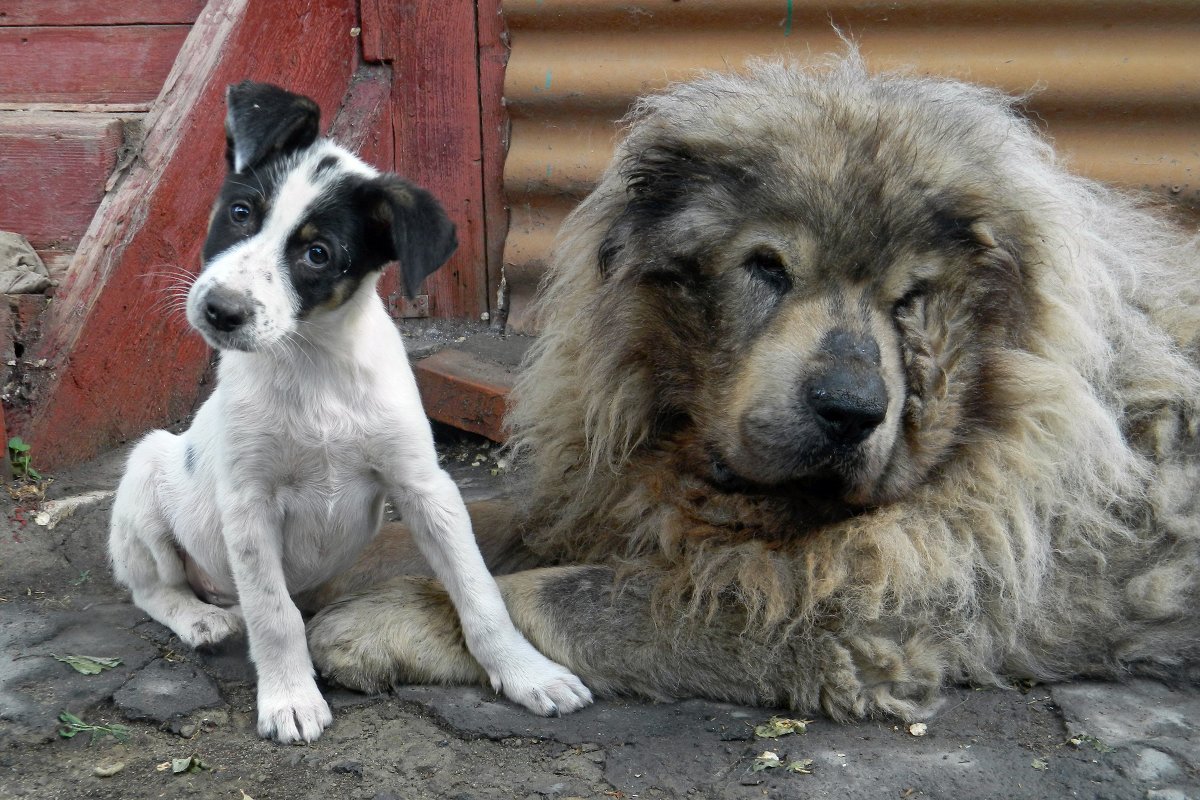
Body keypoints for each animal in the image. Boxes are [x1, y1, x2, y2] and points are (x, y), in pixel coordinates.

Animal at [110, 81, 592, 743]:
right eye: (241, 213)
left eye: (318, 253)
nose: (220, 310)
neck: (314, 367)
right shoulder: (249, 504)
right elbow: (274, 614)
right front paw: (290, 698)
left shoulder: (425, 488)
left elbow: (479, 593)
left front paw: (527, 673)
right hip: (146, 472)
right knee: (152, 588)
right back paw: (198, 619)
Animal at [307, 54, 1200, 719]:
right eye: (767, 267)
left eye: (910, 298)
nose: (851, 410)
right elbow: (481, 527)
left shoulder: (857, 603)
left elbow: (569, 592)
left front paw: (381, 622)